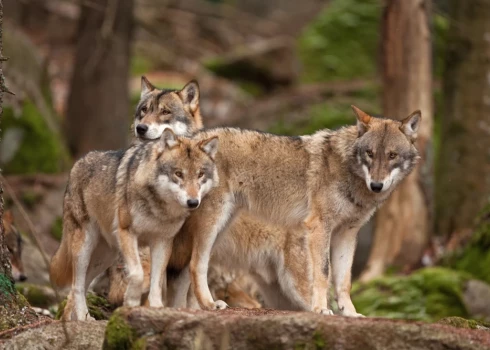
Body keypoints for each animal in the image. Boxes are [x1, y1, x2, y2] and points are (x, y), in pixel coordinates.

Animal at [49, 129, 218, 320]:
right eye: (178, 174)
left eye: (200, 174)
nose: (193, 202)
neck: (159, 208)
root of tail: (77, 163)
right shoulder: (127, 233)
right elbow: (137, 274)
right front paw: (130, 301)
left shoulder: (162, 241)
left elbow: (156, 282)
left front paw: (157, 308)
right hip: (84, 249)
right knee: (76, 285)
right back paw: (82, 318)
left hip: (104, 257)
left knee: (80, 285)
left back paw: (73, 319)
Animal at [173, 104, 422, 314]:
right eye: (369, 153)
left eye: (392, 155)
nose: (377, 185)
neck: (349, 172)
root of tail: (188, 139)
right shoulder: (319, 227)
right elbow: (323, 273)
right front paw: (321, 310)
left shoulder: (347, 234)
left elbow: (344, 282)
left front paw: (350, 314)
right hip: (213, 226)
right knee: (196, 265)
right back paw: (208, 304)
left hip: (223, 231)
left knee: (187, 269)